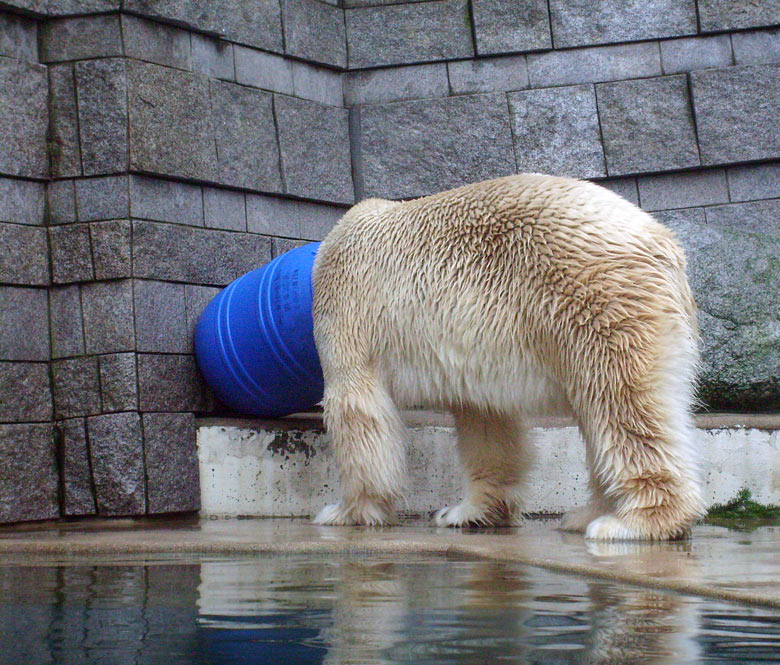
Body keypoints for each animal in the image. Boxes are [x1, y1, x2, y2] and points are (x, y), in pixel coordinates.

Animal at [312, 175, 708, 540]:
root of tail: (665, 246)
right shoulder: (474, 352)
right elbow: (486, 423)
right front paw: (466, 512)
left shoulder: (346, 302)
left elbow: (356, 408)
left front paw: (343, 511)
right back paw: (586, 514)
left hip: (597, 300)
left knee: (620, 400)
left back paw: (632, 521)